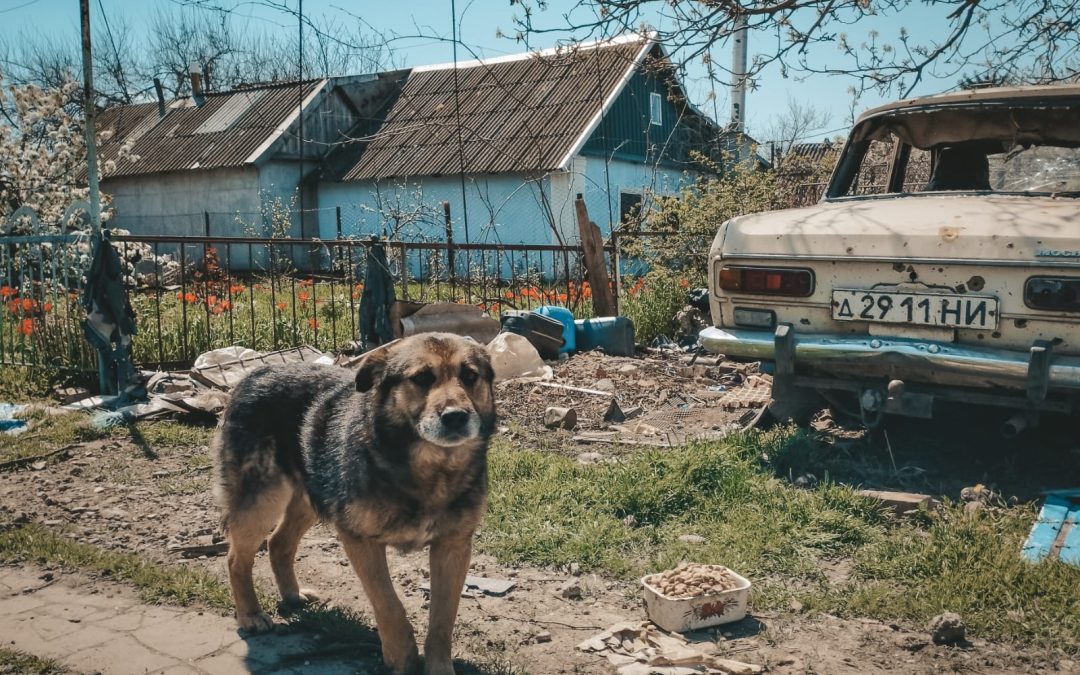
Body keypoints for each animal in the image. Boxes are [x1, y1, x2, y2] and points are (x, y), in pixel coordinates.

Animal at [211, 332, 496, 673]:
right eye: (421, 378)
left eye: (470, 376)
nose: (456, 417)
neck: (431, 467)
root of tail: (254, 373)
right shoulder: (360, 540)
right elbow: (389, 606)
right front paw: (401, 659)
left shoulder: (453, 547)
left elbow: (442, 620)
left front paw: (438, 667)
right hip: (262, 501)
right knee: (236, 558)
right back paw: (251, 615)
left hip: (310, 498)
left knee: (279, 542)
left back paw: (292, 596)